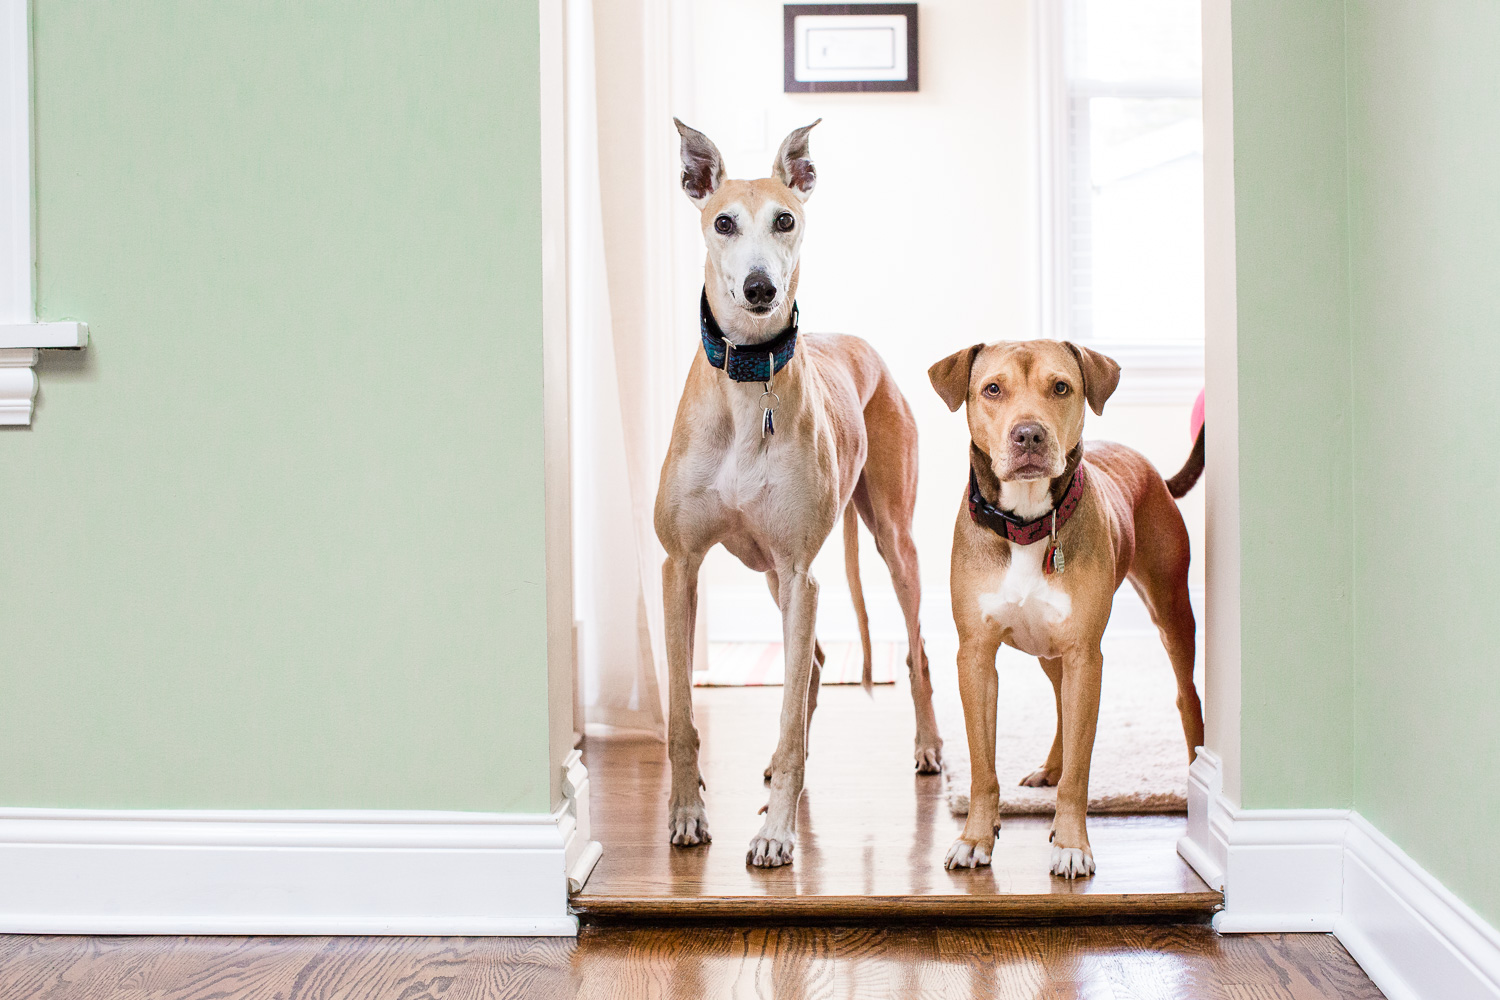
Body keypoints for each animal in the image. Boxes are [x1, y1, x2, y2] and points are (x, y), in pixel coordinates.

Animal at [654, 119, 936, 869]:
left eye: (784, 219)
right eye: (723, 221)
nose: (760, 289)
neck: (750, 380)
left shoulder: (802, 570)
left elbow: (785, 710)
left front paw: (776, 834)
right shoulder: (679, 567)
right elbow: (682, 712)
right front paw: (687, 814)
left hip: (887, 543)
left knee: (914, 652)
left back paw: (928, 748)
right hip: (774, 577)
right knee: (811, 665)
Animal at [924, 340, 1206, 881]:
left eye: (1061, 387)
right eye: (992, 389)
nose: (1029, 434)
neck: (1026, 524)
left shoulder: (1085, 656)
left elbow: (1081, 769)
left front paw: (1072, 845)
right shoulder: (976, 657)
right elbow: (982, 765)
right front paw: (975, 837)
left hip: (1171, 611)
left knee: (1187, 697)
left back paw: (1195, 773)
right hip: (1049, 649)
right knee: (1058, 701)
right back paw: (1050, 768)